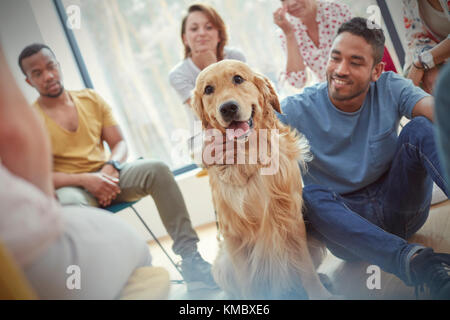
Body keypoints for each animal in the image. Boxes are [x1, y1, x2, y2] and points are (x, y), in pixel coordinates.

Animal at [192, 60, 332, 300]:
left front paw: (319, 293)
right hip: (222, 265)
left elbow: (306, 269)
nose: (228, 108)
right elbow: (247, 283)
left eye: (238, 79)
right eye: (208, 89)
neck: (249, 156)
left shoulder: (291, 217)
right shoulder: (233, 234)